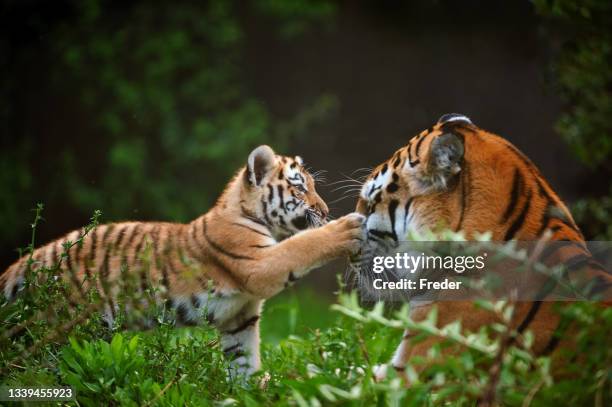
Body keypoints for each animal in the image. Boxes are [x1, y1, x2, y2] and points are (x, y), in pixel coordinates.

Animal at [0, 146, 364, 380]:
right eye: (299, 188)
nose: (326, 211)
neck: (248, 213)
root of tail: (32, 260)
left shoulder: (240, 315)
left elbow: (244, 360)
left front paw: (252, 392)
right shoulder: (258, 264)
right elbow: (302, 245)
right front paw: (345, 228)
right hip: (58, 328)